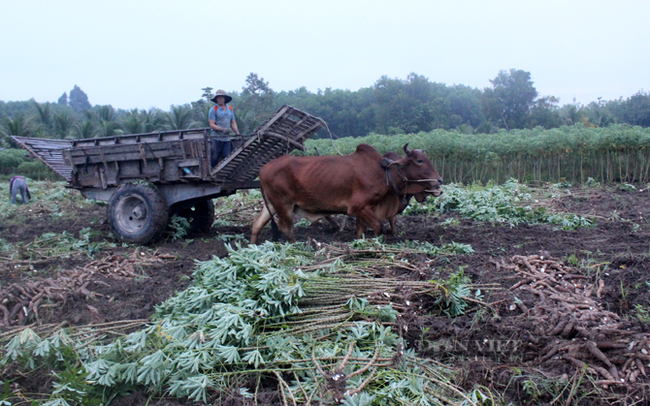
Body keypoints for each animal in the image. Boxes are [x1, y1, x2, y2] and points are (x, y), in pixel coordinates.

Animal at [248, 144, 440, 243]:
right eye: (419, 161)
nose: (439, 181)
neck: (384, 172)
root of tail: (263, 168)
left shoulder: (365, 210)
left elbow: (361, 231)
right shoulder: (358, 207)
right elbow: (378, 226)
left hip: (272, 204)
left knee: (257, 224)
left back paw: (252, 247)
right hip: (284, 205)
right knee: (285, 228)